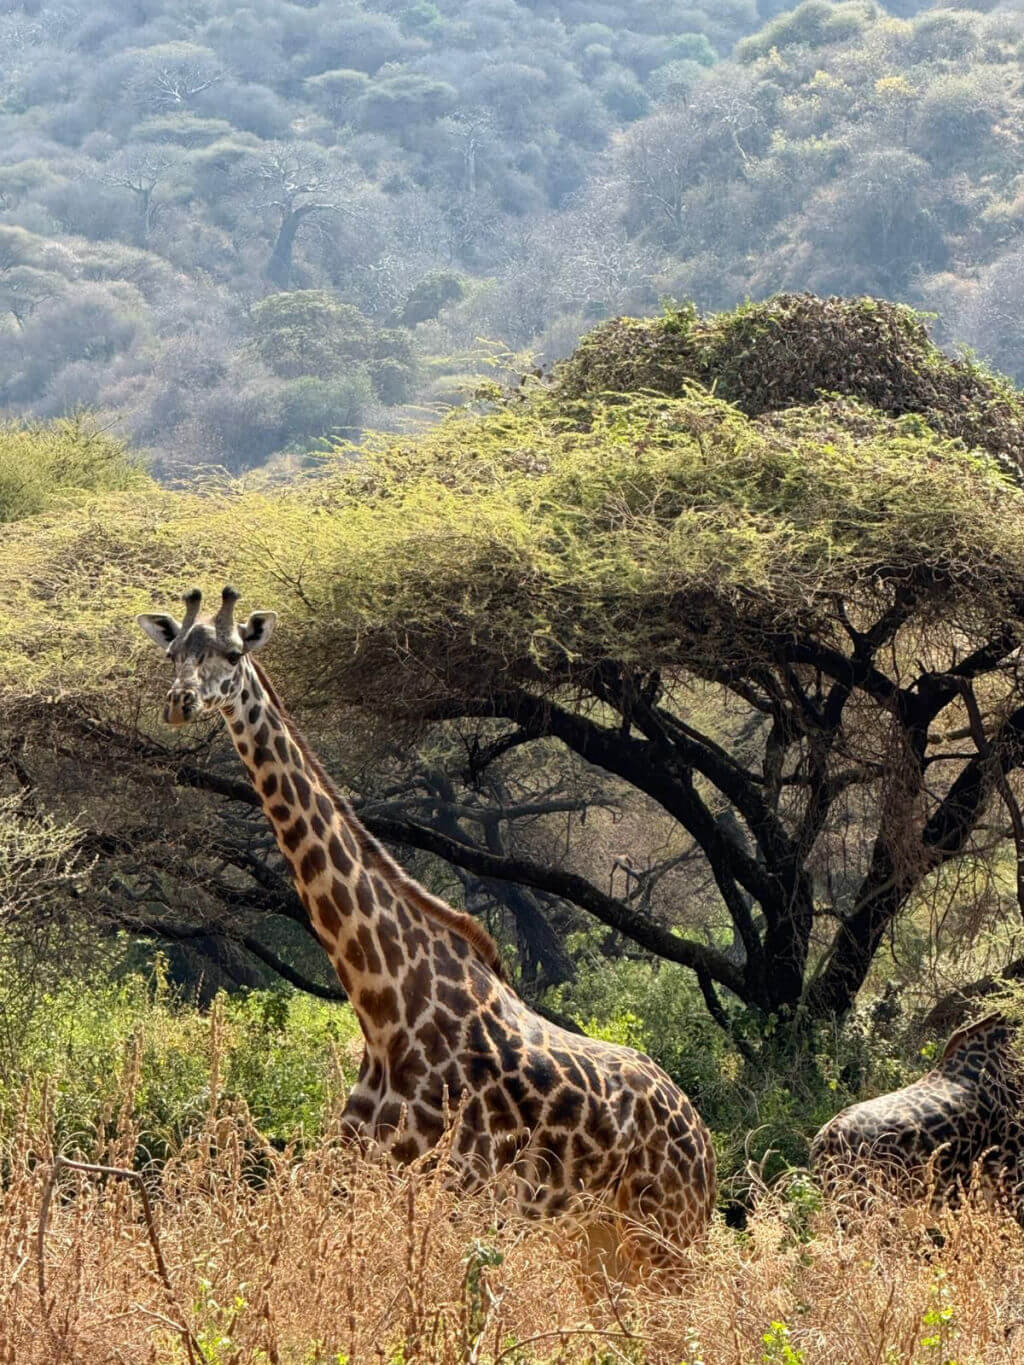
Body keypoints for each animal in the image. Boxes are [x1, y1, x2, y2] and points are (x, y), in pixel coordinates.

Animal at [136, 585, 716, 1271]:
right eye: (173, 652)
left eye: (231, 652)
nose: (180, 702)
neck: (383, 1008)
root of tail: (704, 1135)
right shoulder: (368, 1182)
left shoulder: (466, 1201)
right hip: (596, 1241)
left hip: (667, 1236)